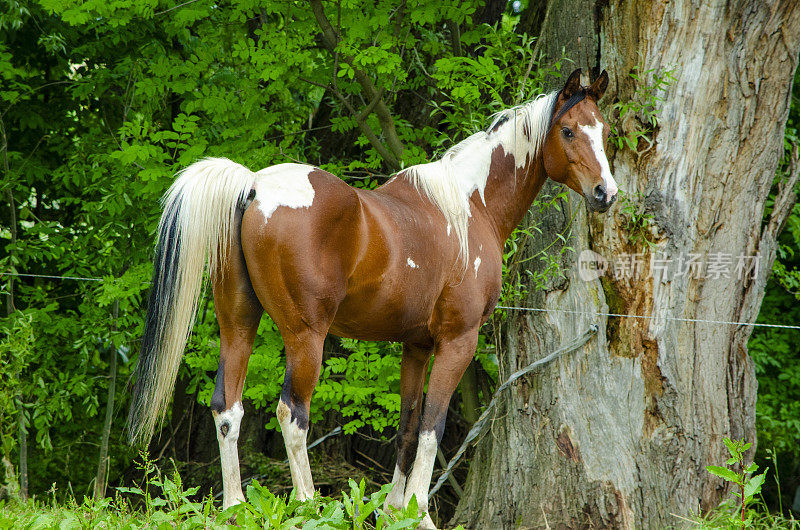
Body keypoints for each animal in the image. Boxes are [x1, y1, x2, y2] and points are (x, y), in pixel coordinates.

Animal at [128, 68, 620, 524]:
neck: (471, 205)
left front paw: (395, 512)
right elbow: (433, 427)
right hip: (306, 337)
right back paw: (308, 504)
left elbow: (407, 428)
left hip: (238, 324)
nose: (607, 193)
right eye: (568, 130)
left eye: (604, 130)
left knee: (227, 410)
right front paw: (420, 513)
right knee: (292, 413)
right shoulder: (458, 341)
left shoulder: (416, 346)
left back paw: (235, 507)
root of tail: (252, 185)